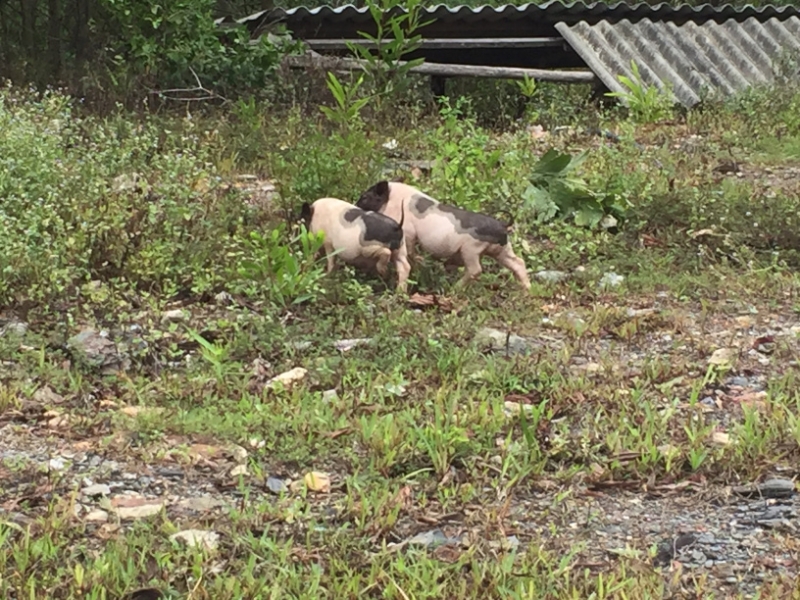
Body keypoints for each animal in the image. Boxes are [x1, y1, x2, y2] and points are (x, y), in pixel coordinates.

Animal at [356, 181, 531, 290]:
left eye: (365, 197)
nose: (355, 204)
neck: (392, 200)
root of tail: (502, 225)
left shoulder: (409, 232)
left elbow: (411, 249)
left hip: (471, 249)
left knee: (476, 269)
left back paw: (455, 289)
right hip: (502, 249)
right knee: (518, 262)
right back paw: (527, 289)